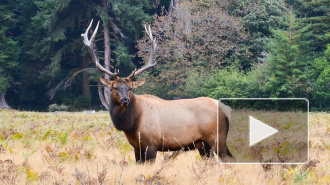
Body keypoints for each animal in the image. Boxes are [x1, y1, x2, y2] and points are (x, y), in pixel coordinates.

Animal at [81, 19, 233, 163]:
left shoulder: (151, 144)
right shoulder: (136, 147)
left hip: (218, 138)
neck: (132, 125)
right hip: (202, 145)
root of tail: (226, 109)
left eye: (131, 88)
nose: (125, 100)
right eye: (115, 87)